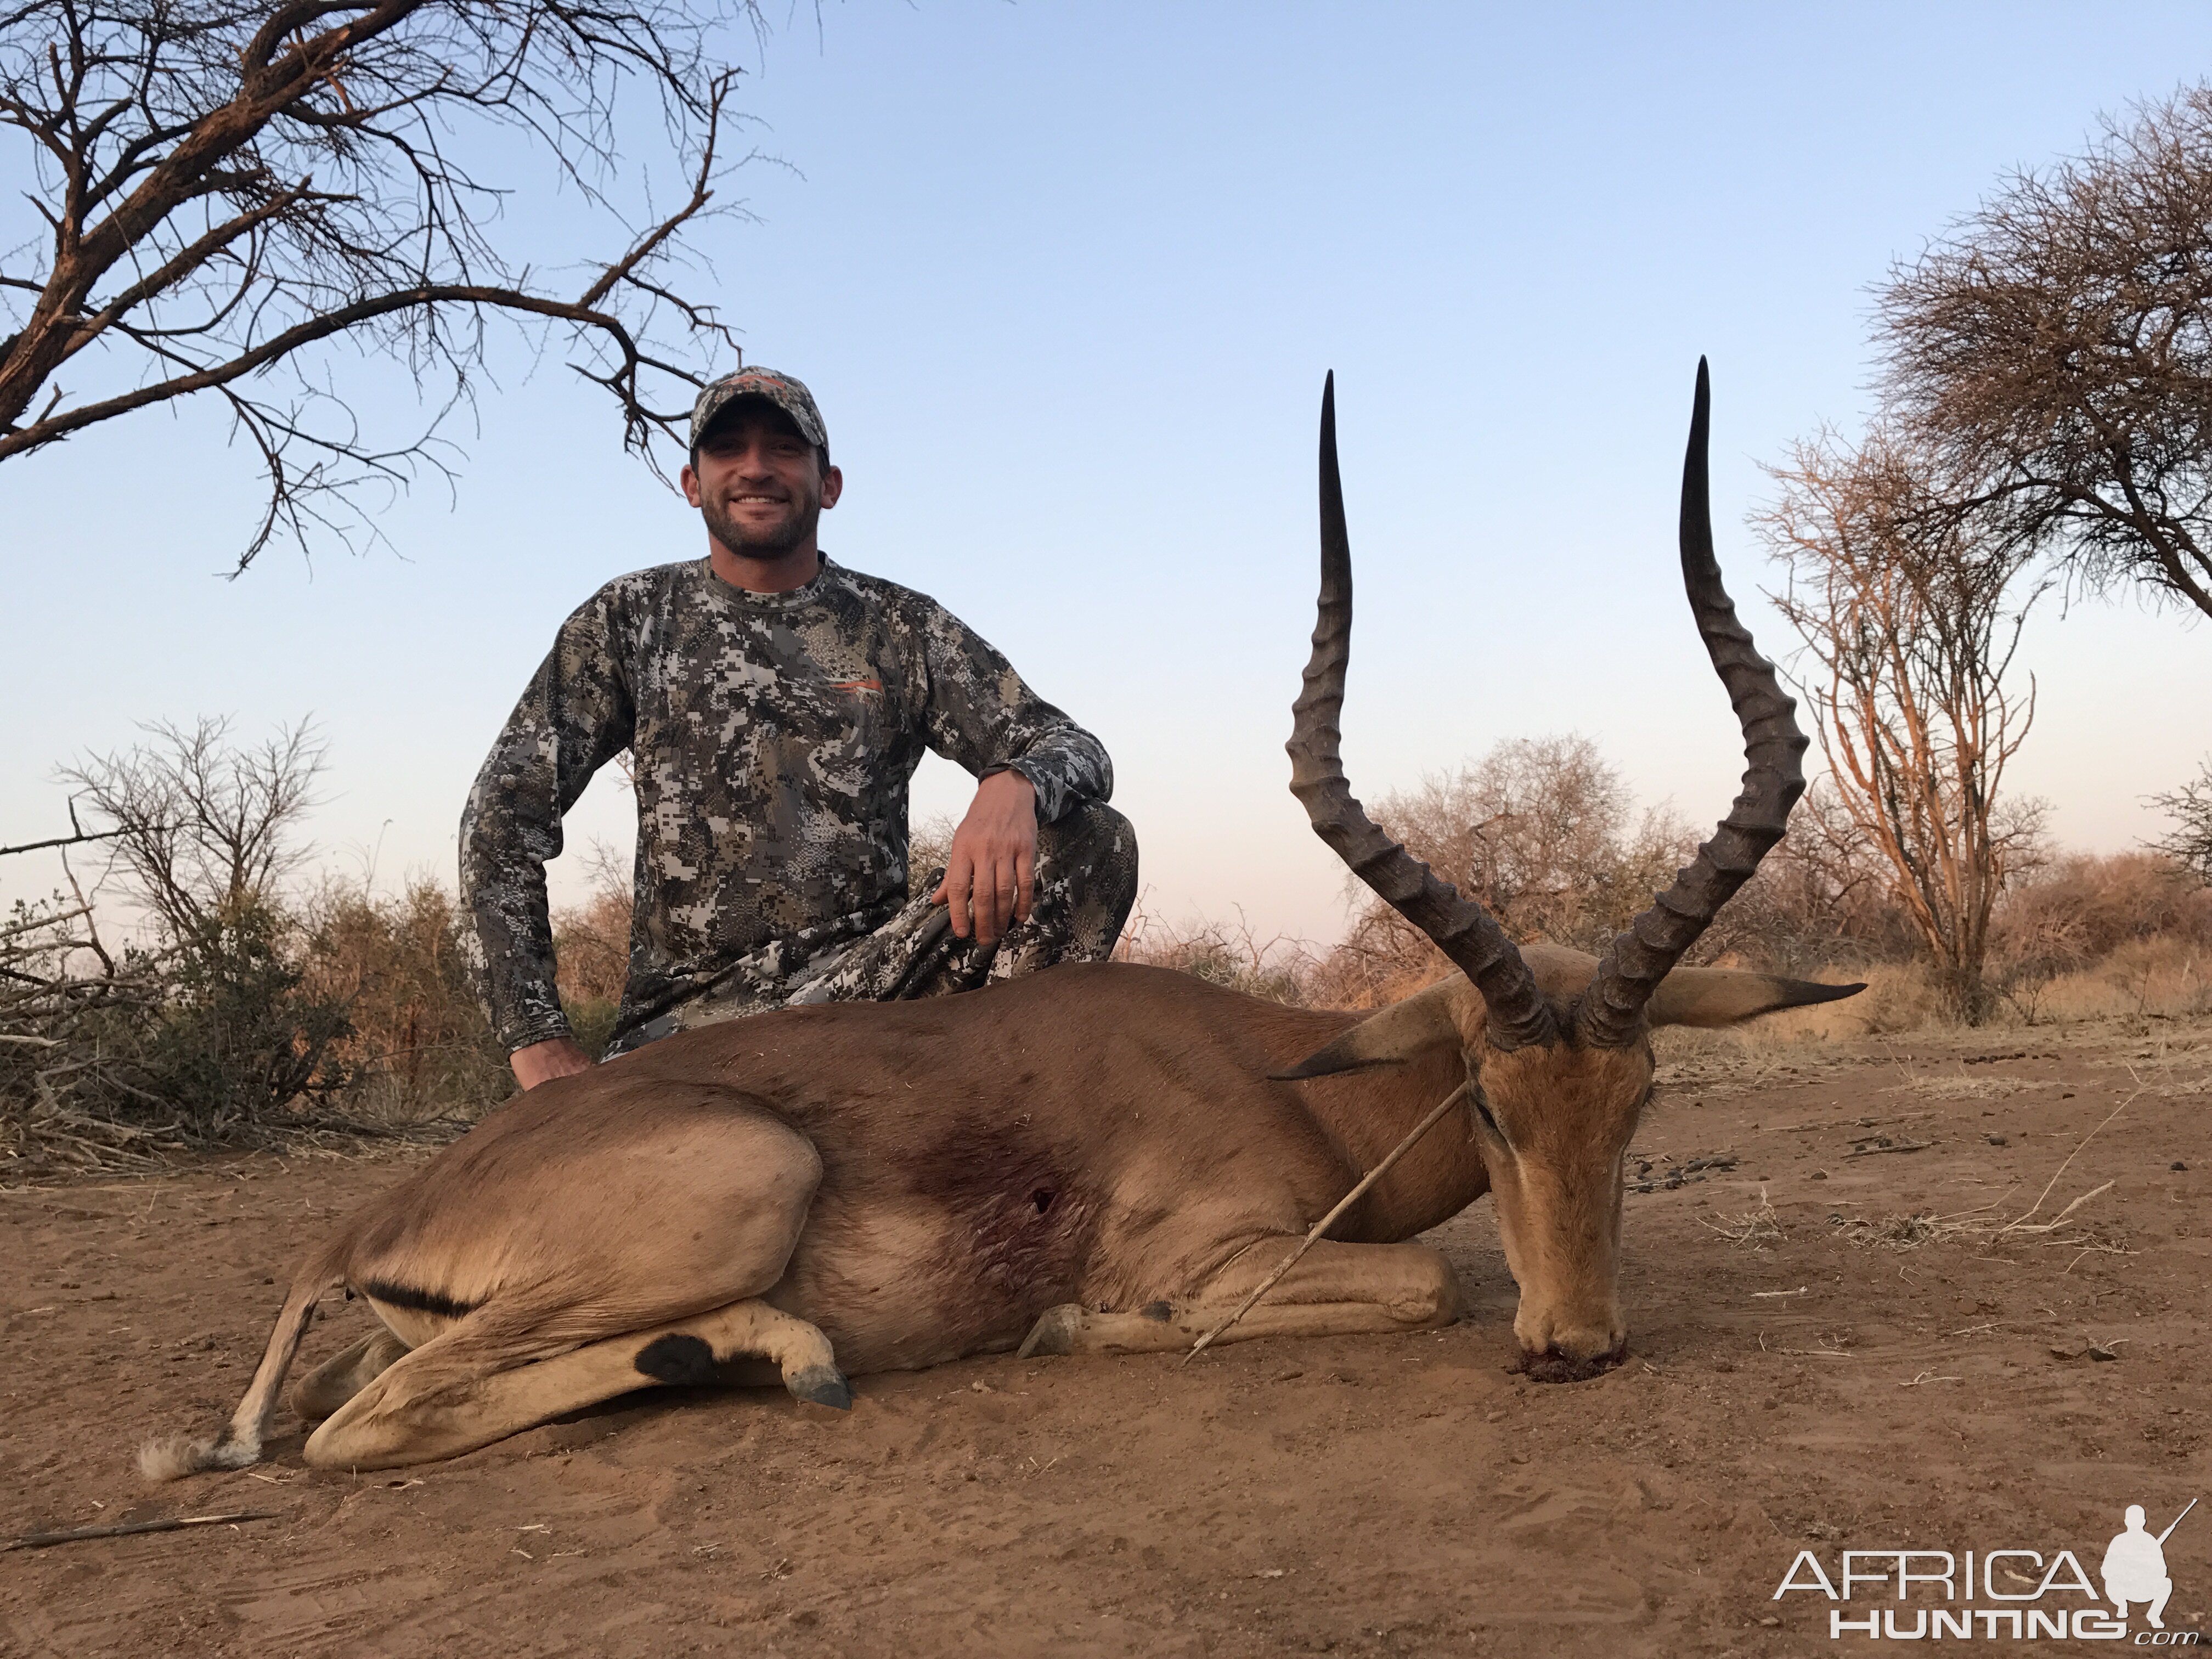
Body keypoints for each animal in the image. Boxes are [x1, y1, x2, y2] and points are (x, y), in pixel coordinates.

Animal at [147, 367, 1858, 1477]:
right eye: (1490, 1103)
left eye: (1640, 1102)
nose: (1580, 1344)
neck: (1281, 1077)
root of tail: (371, 1221)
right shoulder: (1220, 1258)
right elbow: (1430, 1281)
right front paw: (1069, 1330)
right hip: (742, 1183)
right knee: (359, 1430)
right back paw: (787, 1356)